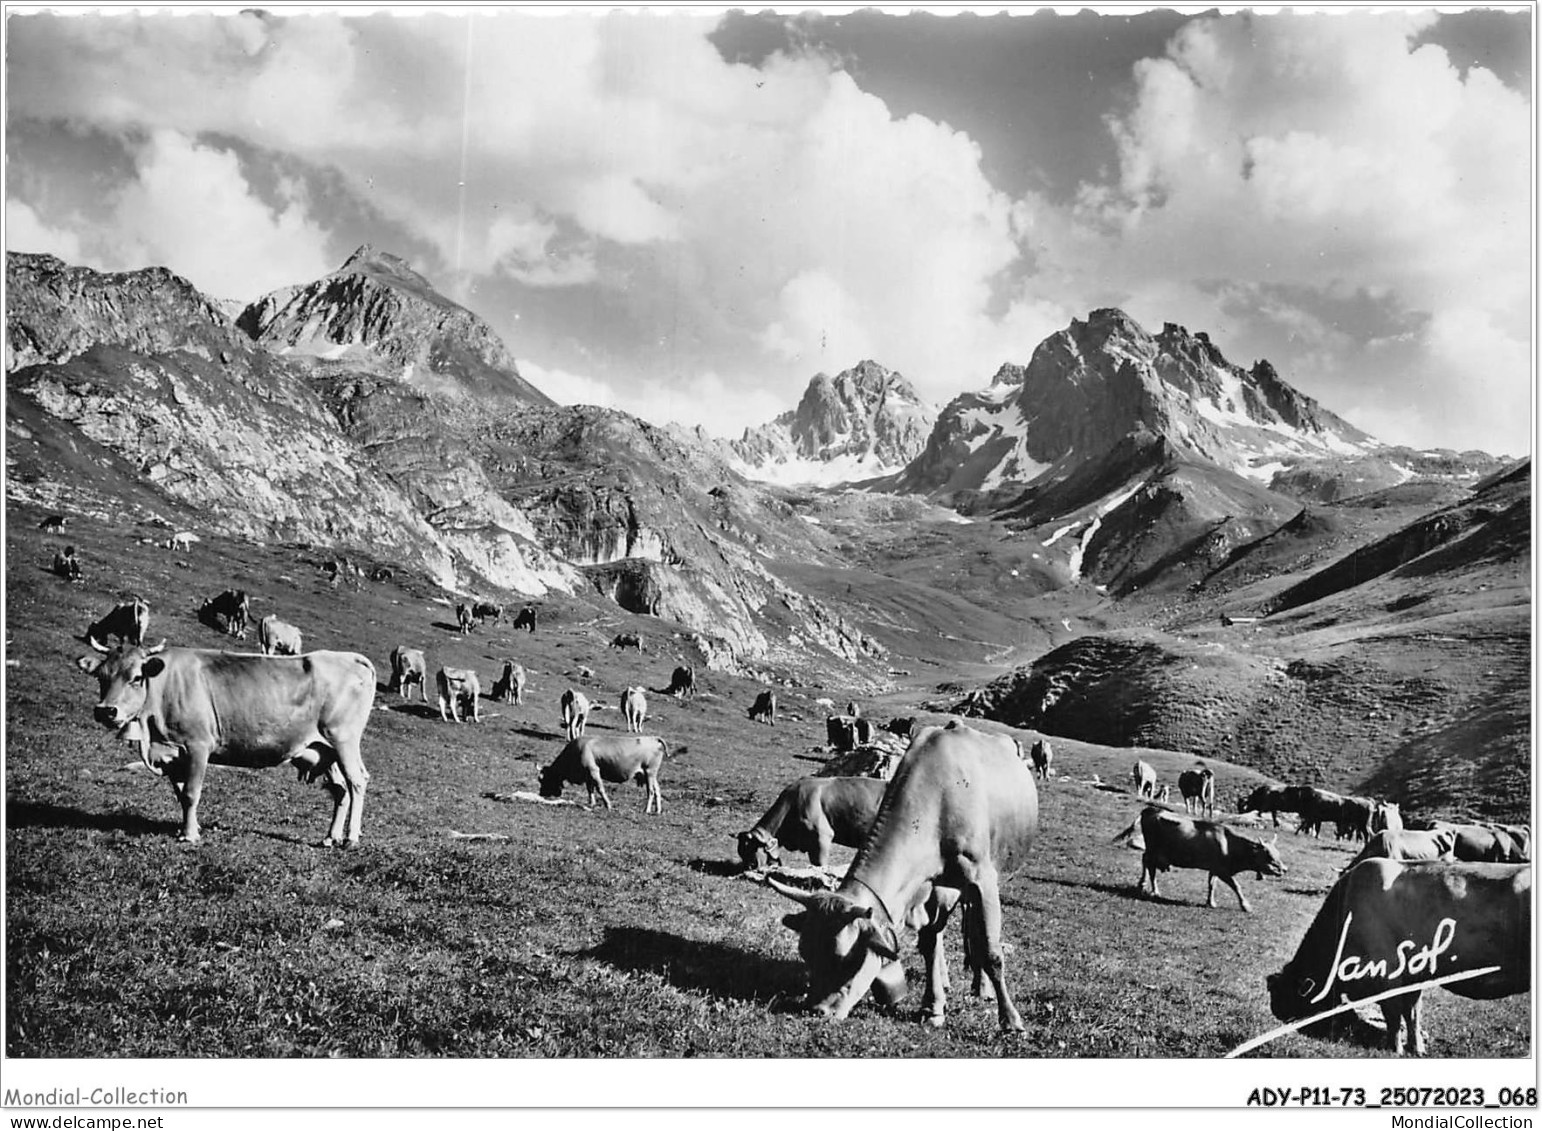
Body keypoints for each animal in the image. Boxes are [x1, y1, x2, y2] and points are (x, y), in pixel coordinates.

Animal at [77, 638, 376, 845]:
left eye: (137, 678)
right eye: (101, 676)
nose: (106, 710)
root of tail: (350, 658)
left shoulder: (198, 746)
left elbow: (191, 793)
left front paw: (189, 836)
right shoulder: (173, 754)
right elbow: (180, 794)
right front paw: (189, 828)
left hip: (344, 740)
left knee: (357, 781)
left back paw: (350, 838)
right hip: (325, 750)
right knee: (340, 789)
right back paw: (330, 837)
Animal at [767, 722, 1042, 1030]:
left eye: (846, 957)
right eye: (806, 952)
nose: (816, 1010)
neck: (938, 800)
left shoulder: (981, 880)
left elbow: (990, 951)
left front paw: (1011, 1020)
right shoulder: (927, 885)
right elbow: (930, 943)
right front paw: (932, 1007)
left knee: (975, 931)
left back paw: (982, 988)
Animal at [1134, 802, 1289, 907]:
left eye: (1278, 853)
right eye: (1268, 855)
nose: (1284, 869)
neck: (1229, 844)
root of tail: (1151, 809)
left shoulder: (1214, 869)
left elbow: (1211, 885)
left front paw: (1211, 902)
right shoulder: (1223, 871)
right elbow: (1236, 886)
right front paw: (1245, 906)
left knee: (1145, 861)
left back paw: (1143, 885)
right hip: (1153, 850)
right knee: (1149, 865)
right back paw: (1152, 889)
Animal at [1264, 857, 1529, 1055]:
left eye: (1286, 995)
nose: (1277, 1013)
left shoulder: (1386, 973)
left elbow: (1392, 1013)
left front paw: (1394, 1047)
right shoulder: (1413, 975)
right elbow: (1411, 1013)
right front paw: (1416, 1047)